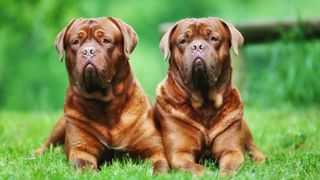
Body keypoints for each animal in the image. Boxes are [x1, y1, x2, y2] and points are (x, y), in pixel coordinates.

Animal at [34, 17, 170, 173]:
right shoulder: (81, 150)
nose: (88, 50)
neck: (105, 104)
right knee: (47, 145)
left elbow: (159, 164)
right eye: (76, 42)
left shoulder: (153, 149)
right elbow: (84, 167)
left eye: (106, 40)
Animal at [154, 17, 264, 174]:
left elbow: (230, 166)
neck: (205, 101)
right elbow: (195, 167)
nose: (197, 46)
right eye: (183, 41)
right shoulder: (179, 153)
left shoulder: (232, 151)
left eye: (213, 38)